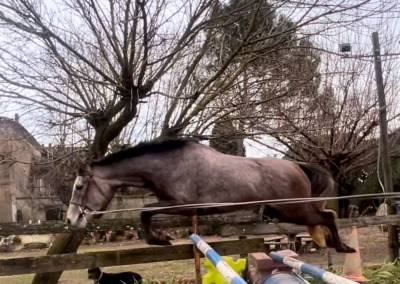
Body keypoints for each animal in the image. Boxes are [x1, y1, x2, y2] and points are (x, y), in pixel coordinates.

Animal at [66, 139, 356, 252]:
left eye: (79, 187)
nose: (71, 220)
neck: (168, 165)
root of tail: (297, 166)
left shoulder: (182, 205)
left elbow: (145, 211)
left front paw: (158, 239)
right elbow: (146, 212)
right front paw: (160, 238)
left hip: (293, 209)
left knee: (328, 216)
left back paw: (343, 247)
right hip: (286, 212)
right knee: (324, 217)